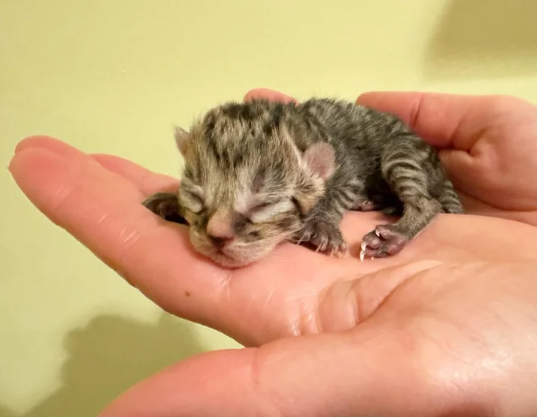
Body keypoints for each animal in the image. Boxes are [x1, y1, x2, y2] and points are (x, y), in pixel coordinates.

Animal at [141, 97, 460, 266]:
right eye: (196, 198)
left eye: (264, 205)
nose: (216, 235)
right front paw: (168, 200)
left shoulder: (348, 168)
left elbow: (336, 195)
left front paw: (322, 225)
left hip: (401, 153)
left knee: (425, 202)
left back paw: (394, 234)